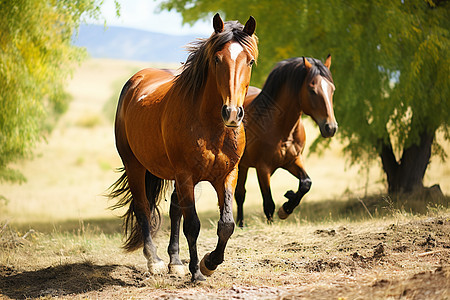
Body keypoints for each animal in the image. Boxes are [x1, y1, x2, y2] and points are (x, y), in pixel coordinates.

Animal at [107, 14, 258, 282]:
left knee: (175, 208)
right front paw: (197, 272)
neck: (211, 126)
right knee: (143, 207)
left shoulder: (227, 174)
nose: (232, 113)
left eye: (250, 61)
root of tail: (135, 81)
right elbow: (193, 225)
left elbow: (226, 225)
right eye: (217, 59)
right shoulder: (186, 175)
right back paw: (155, 261)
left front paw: (209, 263)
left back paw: (175, 262)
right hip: (135, 166)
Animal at [236, 55, 338, 227]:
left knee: (240, 194)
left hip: (243, 165)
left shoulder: (293, 161)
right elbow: (268, 204)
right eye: (312, 90)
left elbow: (306, 183)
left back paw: (240, 224)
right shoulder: (263, 168)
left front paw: (287, 205)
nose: (330, 127)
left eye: (332, 89)